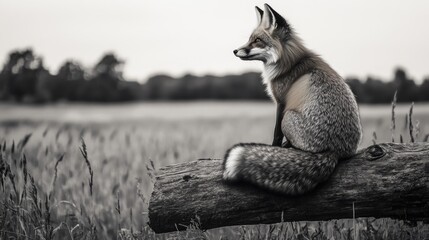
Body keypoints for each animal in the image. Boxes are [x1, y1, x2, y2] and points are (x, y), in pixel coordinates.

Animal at [224, 3, 362, 195]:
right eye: (250, 39)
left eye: (257, 40)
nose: (235, 50)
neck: (289, 62)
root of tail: (335, 151)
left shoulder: (281, 103)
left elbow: (275, 133)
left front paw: (274, 147)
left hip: (288, 117)